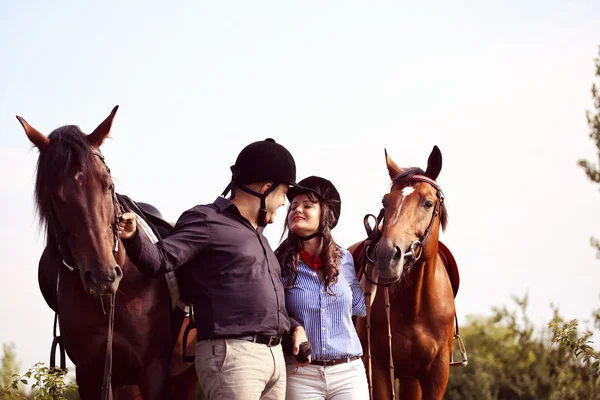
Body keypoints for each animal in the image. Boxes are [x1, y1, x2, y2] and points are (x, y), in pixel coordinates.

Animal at [350, 147, 458, 400]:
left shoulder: (437, 375)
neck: (414, 307)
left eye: (428, 203)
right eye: (385, 201)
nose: (387, 255)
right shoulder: (377, 368)